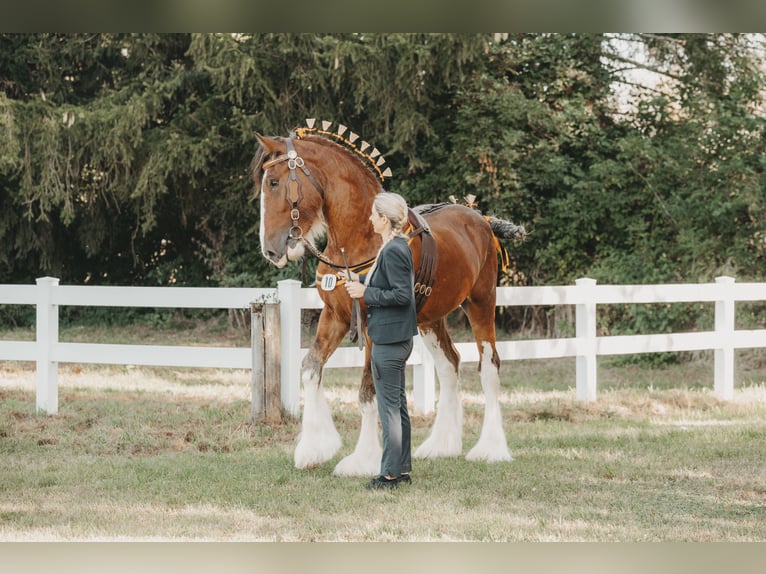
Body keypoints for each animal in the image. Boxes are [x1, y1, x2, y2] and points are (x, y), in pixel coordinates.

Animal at [255, 125, 524, 476]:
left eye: (274, 182)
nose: (269, 249)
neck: (359, 238)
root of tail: (482, 220)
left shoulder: (371, 327)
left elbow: (367, 392)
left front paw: (362, 460)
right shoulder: (335, 316)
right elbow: (311, 369)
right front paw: (314, 448)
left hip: (481, 303)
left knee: (489, 367)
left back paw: (490, 449)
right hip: (430, 319)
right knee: (449, 364)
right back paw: (442, 444)